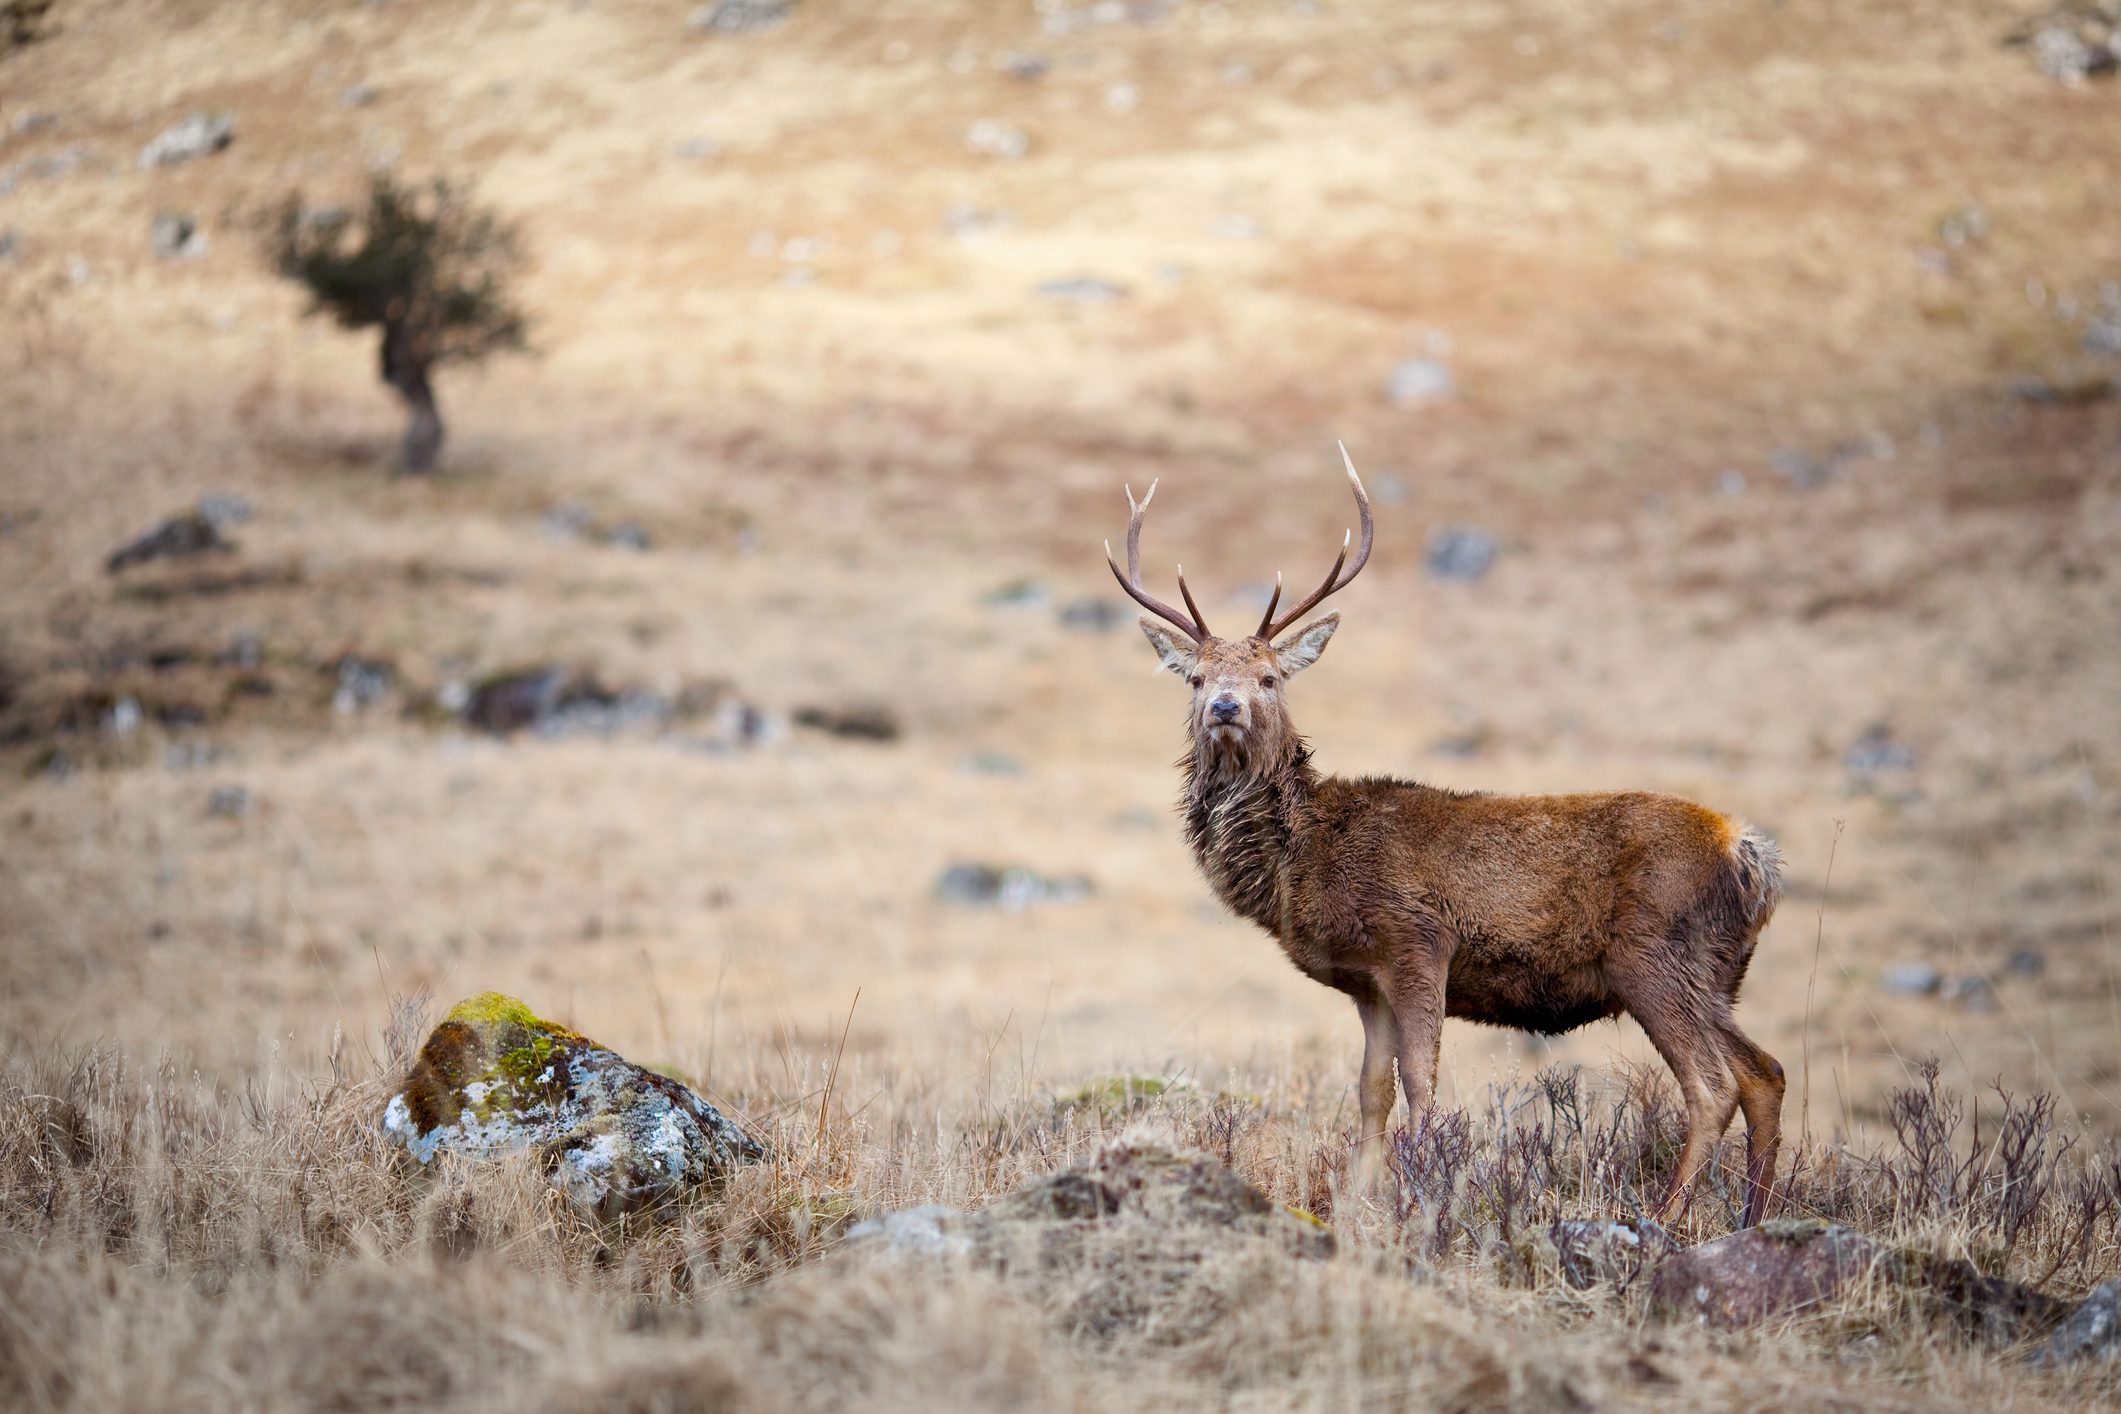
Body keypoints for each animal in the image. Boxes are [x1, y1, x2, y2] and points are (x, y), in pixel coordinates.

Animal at [1105, 446, 1787, 1227]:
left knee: (1713, 1084)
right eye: (1193, 677)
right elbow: (1371, 1091)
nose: (1225, 706)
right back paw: (1755, 1214)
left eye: (1270, 677)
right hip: (1718, 972)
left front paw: (1418, 1193)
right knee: (1765, 1072)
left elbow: (1421, 1082)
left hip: (1652, 955)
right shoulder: (1363, 980)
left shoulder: (1418, 941)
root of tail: (1750, 854)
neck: (1305, 858)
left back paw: (1666, 1215)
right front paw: (1358, 1203)